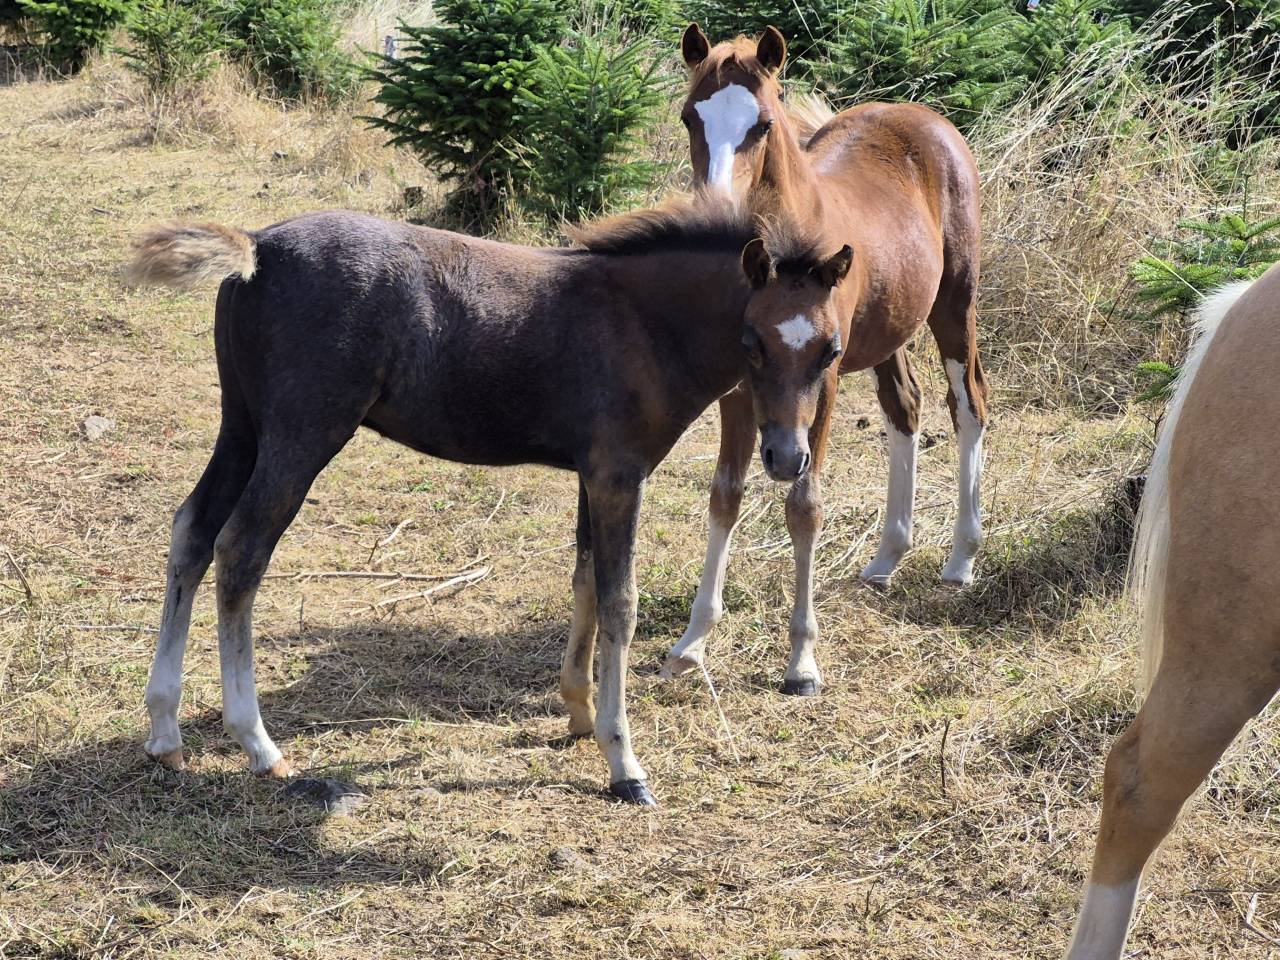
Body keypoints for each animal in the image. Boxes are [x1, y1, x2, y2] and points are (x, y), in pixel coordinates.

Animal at [125, 197, 851, 807]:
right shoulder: (619, 475)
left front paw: (579, 712)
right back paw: (257, 743)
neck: (644, 322)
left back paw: (165, 731)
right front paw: (624, 762)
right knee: (241, 549)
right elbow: (620, 603)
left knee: (192, 531)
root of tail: (258, 246)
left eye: (831, 349)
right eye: (753, 342)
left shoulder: (592, 474)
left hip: (243, 425)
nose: (787, 457)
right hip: (302, 432)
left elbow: (584, 581)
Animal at [662, 24, 989, 696]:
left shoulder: (828, 376)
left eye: (762, 124)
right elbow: (724, 495)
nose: (715, 205)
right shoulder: (740, 384)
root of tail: (922, 116)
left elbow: (804, 505)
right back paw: (888, 556)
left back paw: (961, 556)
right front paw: (692, 641)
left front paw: (802, 662)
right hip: (889, 329)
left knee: (967, 403)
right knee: (905, 407)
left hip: (955, 302)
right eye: (688, 117)